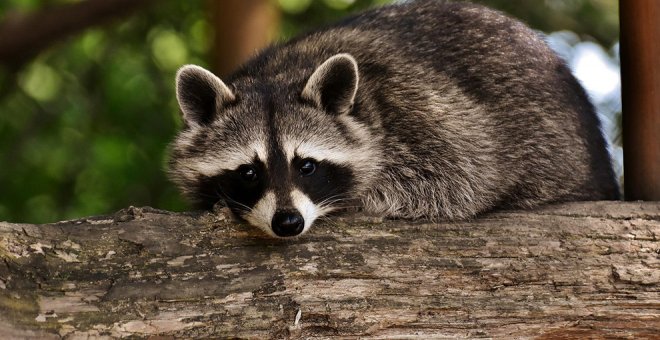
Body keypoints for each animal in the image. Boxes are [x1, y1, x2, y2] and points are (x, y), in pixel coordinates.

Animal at [165, 0, 620, 239]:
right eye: (248, 171)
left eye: (306, 165)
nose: (288, 223)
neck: (280, 74)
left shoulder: (426, 112)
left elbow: (462, 178)